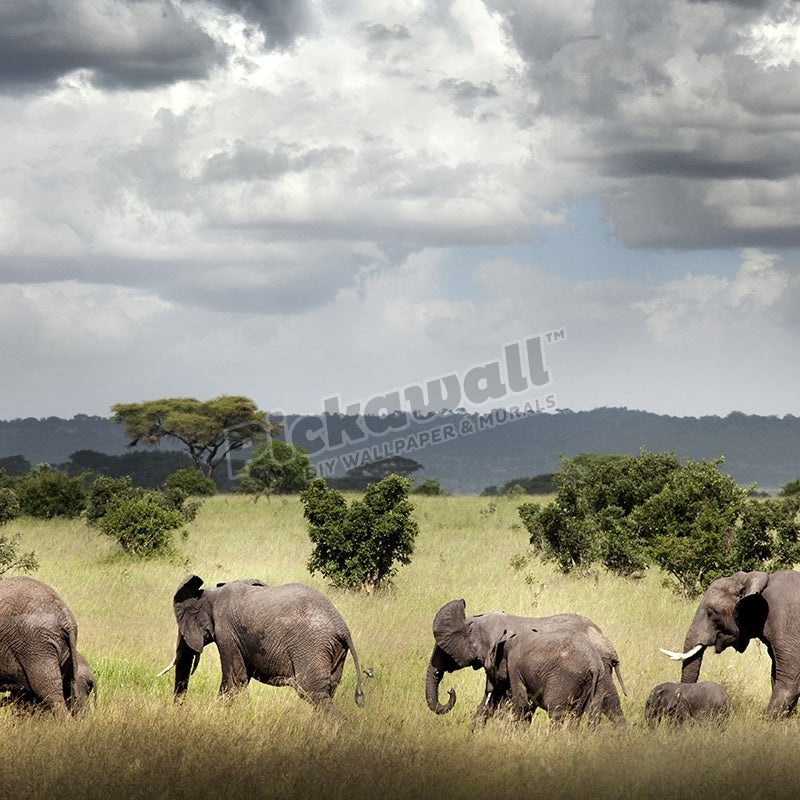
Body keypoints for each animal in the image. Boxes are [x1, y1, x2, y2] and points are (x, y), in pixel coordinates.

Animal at [162, 575, 365, 709]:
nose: (179, 709)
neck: (213, 593)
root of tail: (342, 628)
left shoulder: (226, 631)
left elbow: (233, 680)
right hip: (335, 650)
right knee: (329, 689)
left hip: (312, 645)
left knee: (313, 691)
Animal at [425, 599, 626, 726]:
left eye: (443, 651)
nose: (450, 691)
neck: (475, 621)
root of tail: (607, 642)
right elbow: (493, 697)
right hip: (601, 671)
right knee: (611, 705)